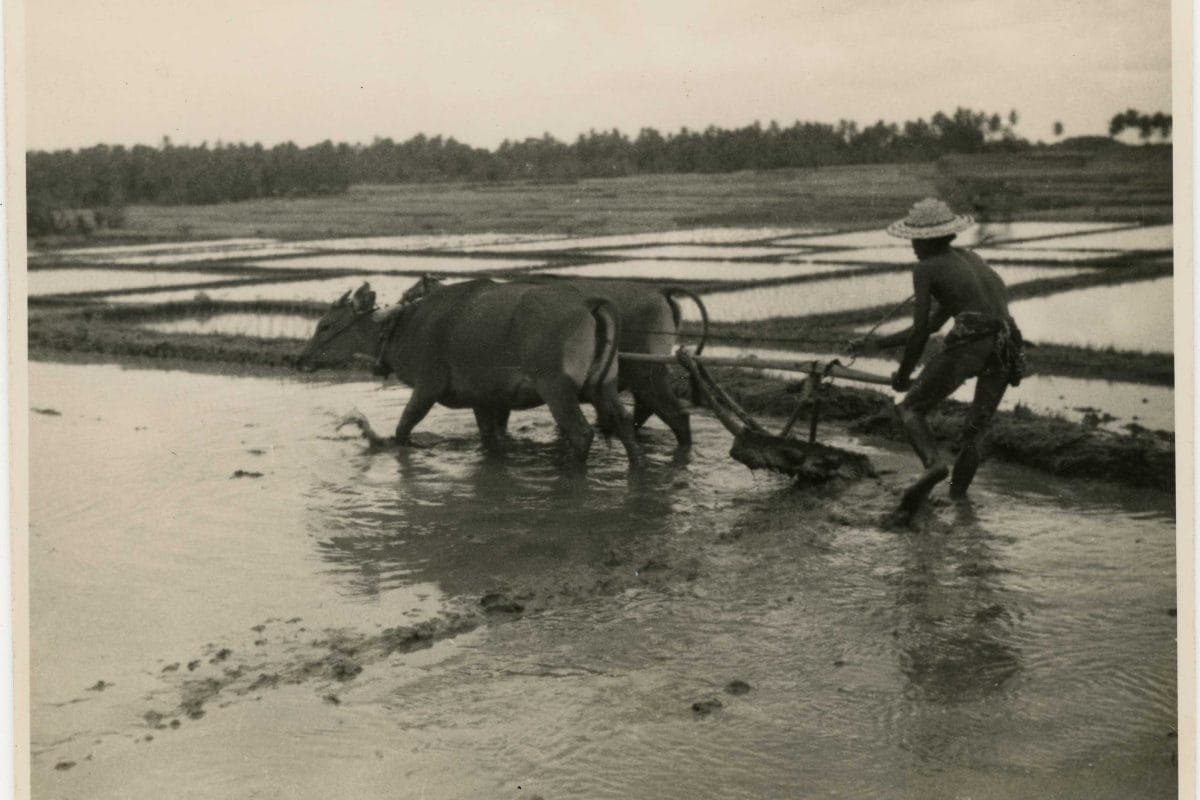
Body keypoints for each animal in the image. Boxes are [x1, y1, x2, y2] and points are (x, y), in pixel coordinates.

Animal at [296, 278, 643, 462]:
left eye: (326, 325)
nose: (299, 360)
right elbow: (489, 437)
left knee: (582, 433)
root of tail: (586, 303)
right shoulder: (484, 400)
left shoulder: (427, 388)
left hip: (557, 390)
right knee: (624, 422)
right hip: (603, 388)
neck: (405, 327)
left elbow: (403, 429)